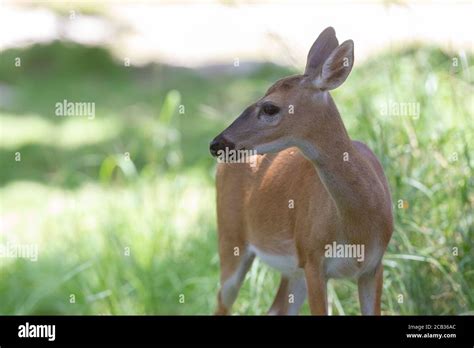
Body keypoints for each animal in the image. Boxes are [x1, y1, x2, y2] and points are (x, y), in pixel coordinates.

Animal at [210, 27, 392, 316]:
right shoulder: (313, 258)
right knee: (222, 301)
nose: (216, 143)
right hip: (230, 237)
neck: (358, 228)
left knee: (275, 309)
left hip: (291, 269)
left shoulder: (374, 266)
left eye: (270, 107)